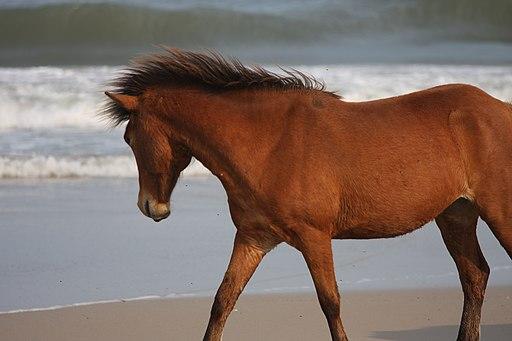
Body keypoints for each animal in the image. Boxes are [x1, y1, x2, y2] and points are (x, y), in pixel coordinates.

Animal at [102, 48, 510, 340]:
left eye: (129, 137)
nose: (150, 207)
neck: (268, 143)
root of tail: (500, 108)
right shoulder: (253, 239)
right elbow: (223, 301)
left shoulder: (315, 238)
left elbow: (330, 303)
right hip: (455, 216)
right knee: (475, 277)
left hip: (499, 214)